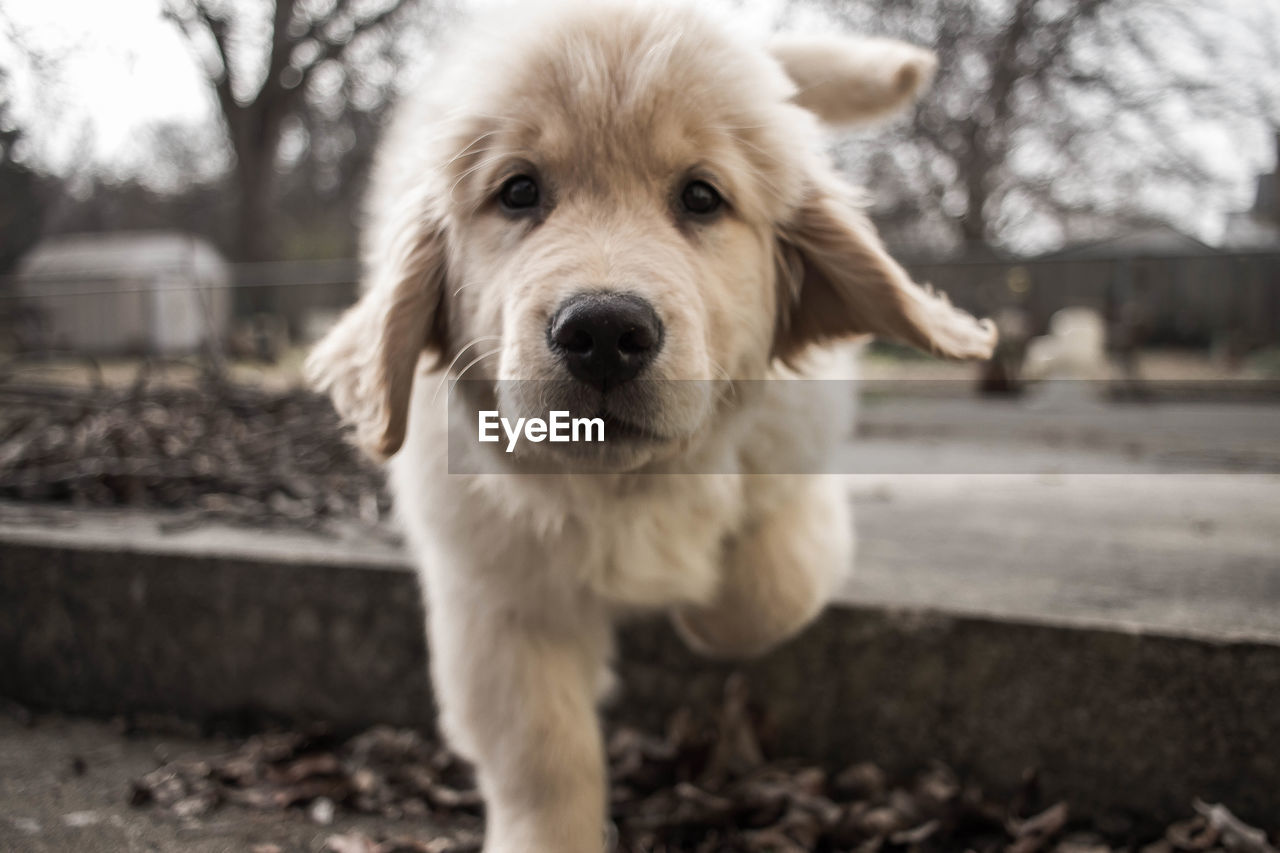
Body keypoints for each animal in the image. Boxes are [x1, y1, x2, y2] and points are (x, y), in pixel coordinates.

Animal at [307, 3, 988, 845]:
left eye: (701, 197)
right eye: (518, 191)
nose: (602, 331)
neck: (626, 484)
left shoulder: (794, 460)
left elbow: (761, 598)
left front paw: (699, 598)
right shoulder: (497, 589)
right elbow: (540, 750)